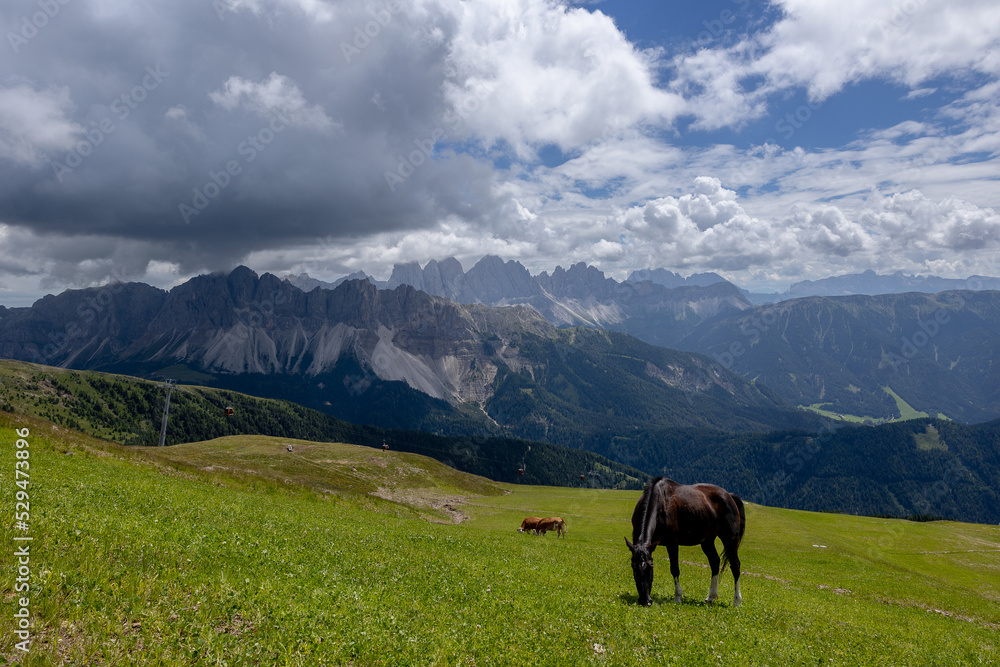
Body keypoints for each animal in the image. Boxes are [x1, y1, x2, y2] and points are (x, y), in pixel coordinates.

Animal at [625, 477, 745, 607]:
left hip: (730, 539)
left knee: (735, 565)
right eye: (634, 567)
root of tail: (729, 496)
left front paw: (678, 597)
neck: (661, 502)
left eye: (651, 566)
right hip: (707, 541)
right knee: (714, 562)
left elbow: (674, 569)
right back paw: (711, 597)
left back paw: (737, 600)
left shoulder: (672, 543)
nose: (645, 601)